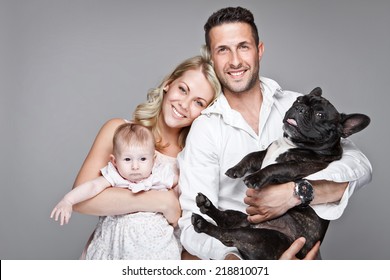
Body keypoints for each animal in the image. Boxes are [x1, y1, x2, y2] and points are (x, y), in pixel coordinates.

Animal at [192, 88, 372, 260]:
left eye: (320, 115)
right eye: (298, 100)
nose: (299, 108)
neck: (290, 143)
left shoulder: (299, 167)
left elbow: (277, 167)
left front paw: (254, 177)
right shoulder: (264, 155)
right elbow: (251, 155)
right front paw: (236, 169)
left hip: (258, 237)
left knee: (227, 235)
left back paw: (202, 223)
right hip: (240, 218)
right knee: (224, 220)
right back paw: (206, 205)